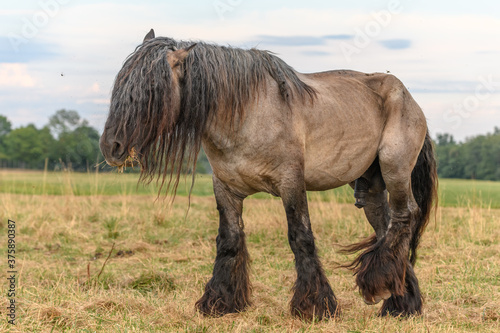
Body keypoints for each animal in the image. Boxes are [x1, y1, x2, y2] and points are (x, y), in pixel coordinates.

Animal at [99, 29, 436, 320]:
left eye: (151, 89)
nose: (111, 147)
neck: (247, 112)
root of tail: (408, 97)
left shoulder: (291, 183)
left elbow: (301, 237)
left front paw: (315, 306)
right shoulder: (225, 188)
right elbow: (229, 240)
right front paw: (221, 302)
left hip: (394, 170)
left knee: (404, 216)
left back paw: (380, 287)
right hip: (370, 186)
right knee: (386, 228)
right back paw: (401, 302)